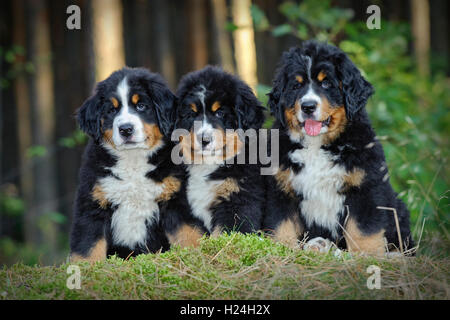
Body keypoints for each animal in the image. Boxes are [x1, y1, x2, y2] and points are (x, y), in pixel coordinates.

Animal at [68, 67, 186, 262]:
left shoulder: (174, 199)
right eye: (112, 110)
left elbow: (189, 233)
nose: (125, 129)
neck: (133, 160)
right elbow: (87, 248)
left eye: (141, 106)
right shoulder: (92, 205)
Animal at [171, 66, 266, 239]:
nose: (204, 140)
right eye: (191, 114)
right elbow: (188, 235)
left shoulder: (238, 197)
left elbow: (224, 231)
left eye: (220, 113)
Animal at [264, 41, 414, 256]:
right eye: (296, 85)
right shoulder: (282, 189)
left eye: (326, 83)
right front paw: (282, 250)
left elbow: (364, 231)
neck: (317, 145)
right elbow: (282, 227)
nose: (308, 106)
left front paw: (367, 256)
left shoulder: (366, 188)